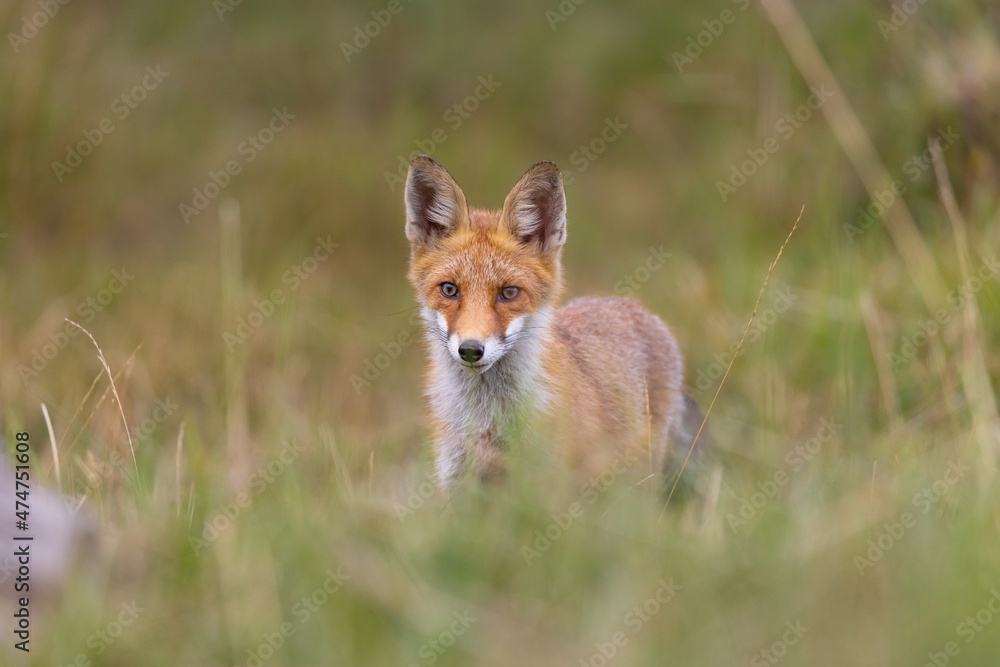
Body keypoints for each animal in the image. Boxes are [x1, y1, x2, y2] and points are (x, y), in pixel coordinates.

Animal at [404, 155, 707, 491]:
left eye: (509, 293)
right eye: (449, 289)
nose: (471, 349)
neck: (488, 422)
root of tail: (633, 306)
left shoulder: (545, 486)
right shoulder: (456, 483)